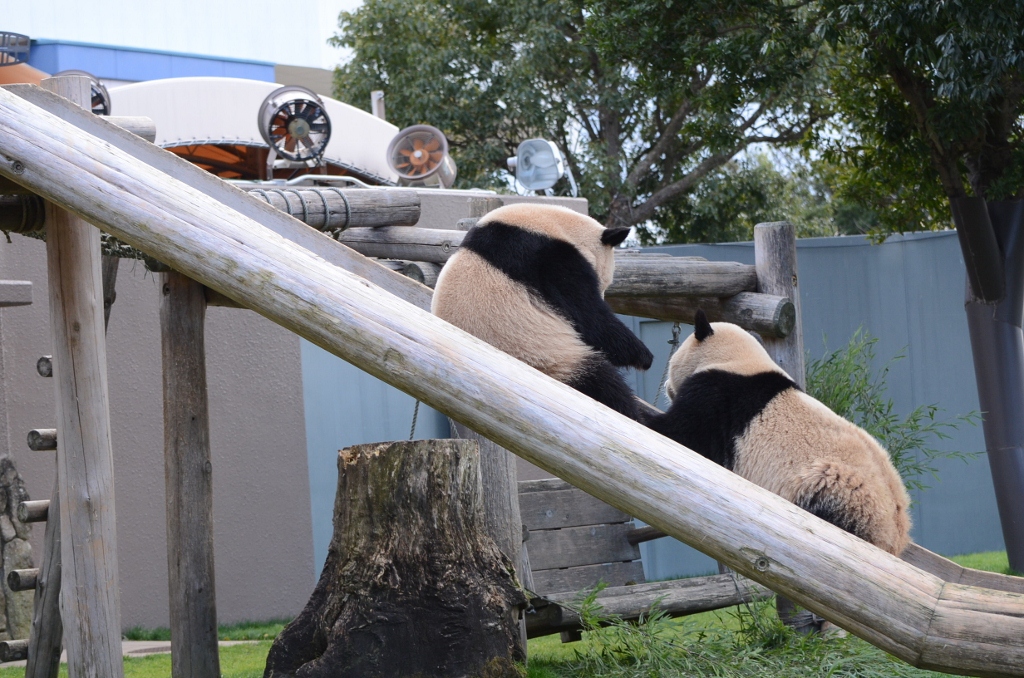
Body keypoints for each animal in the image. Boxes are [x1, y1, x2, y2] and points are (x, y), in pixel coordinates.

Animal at [432, 204, 655, 421]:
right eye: (605, 282)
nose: (603, 294)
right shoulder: (546, 258)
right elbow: (590, 319)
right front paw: (643, 355)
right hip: (550, 359)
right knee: (603, 384)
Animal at [651, 311, 909, 557]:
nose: (666, 387)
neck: (738, 359)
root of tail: (894, 538)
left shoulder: (718, 399)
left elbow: (682, 434)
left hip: (841, 492)